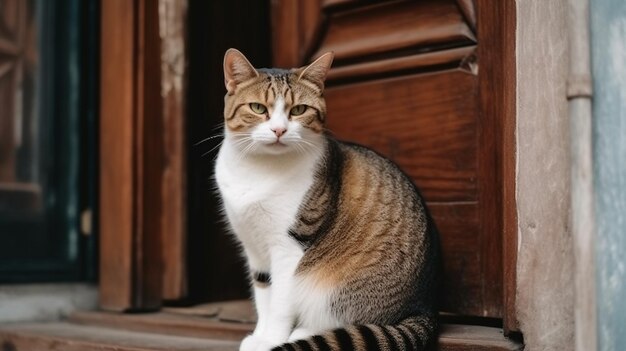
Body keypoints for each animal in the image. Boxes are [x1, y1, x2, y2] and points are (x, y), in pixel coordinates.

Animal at [214, 48, 438, 351]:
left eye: (298, 110)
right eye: (258, 108)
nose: (279, 130)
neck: (258, 169)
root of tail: (422, 307)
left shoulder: (290, 246)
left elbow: (280, 303)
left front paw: (272, 341)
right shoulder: (254, 247)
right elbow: (264, 297)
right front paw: (260, 336)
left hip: (336, 290)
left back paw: (302, 334)